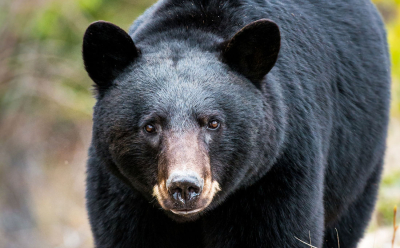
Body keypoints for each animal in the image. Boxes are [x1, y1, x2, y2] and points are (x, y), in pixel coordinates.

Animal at [81, 0, 390, 247]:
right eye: (150, 126)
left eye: (213, 123)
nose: (185, 187)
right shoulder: (122, 190)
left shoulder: (279, 170)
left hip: (358, 162)